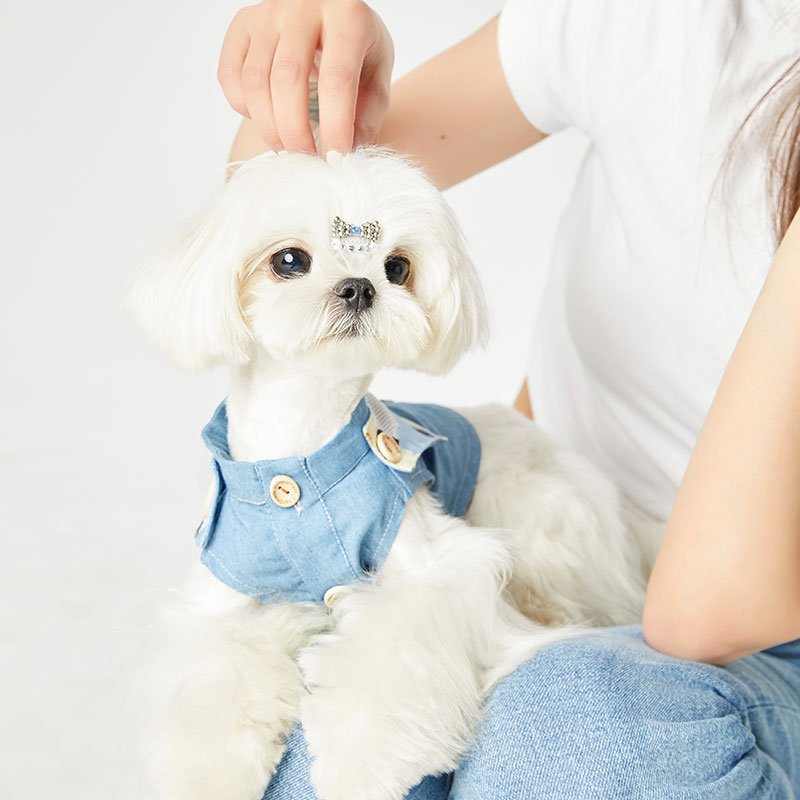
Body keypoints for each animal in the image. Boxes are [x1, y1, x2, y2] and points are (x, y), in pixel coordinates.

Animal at [128, 148, 660, 800]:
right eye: (289, 260)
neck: (298, 452)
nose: (360, 287)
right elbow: (213, 685)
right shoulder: (222, 602)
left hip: (531, 505)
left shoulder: (436, 570)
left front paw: (357, 762)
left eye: (398, 267)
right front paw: (204, 773)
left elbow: (391, 658)